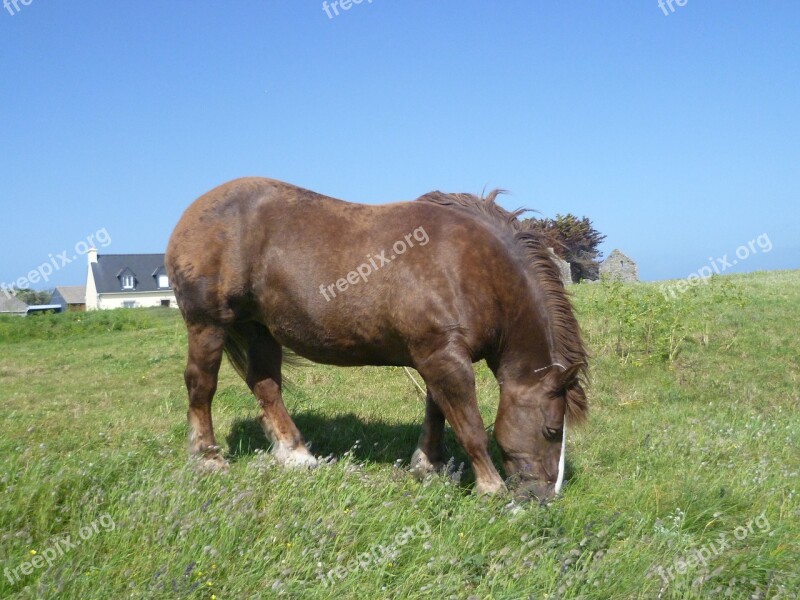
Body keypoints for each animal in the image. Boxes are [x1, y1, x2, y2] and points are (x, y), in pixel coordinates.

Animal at [166, 177, 588, 502]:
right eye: (553, 430)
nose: (544, 497)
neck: (469, 266)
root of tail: (191, 214)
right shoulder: (444, 357)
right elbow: (469, 425)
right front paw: (491, 488)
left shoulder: (435, 355)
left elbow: (437, 411)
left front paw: (429, 465)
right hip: (207, 325)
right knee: (201, 385)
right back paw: (208, 458)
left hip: (260, 329)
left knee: (266, 386)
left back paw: (296, 454)